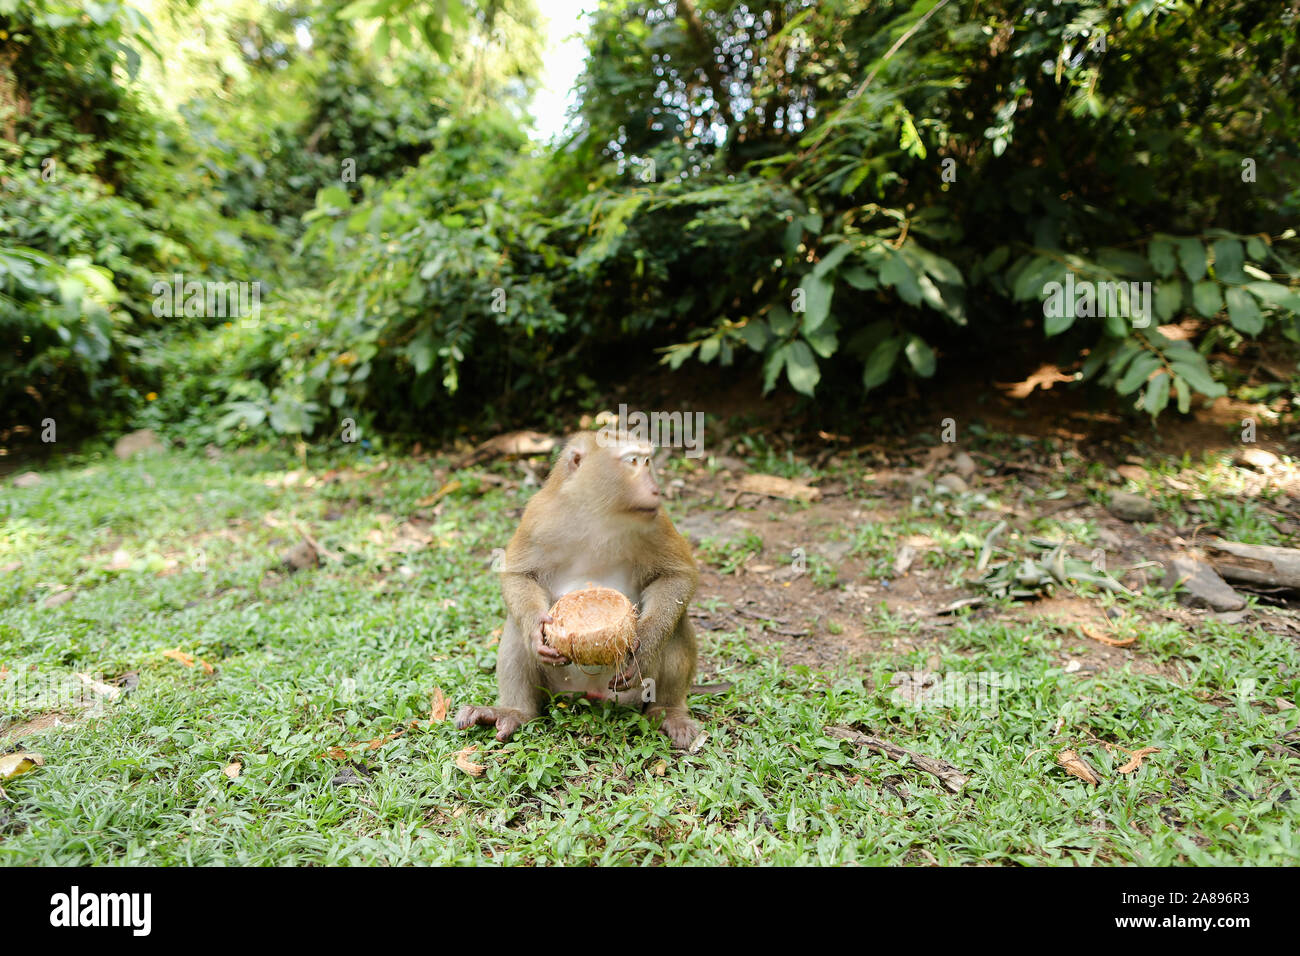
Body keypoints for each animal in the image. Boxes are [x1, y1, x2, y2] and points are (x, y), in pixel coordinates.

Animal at [457, 429, 702, 749]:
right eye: (632, 461)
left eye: (648, 461)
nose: (654, 488)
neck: (598, 512)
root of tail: (591, 695)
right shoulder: (539, 515)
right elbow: (519, 575)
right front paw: (535, 633)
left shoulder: (655, 519)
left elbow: (677, 576)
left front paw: (645, 645)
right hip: (557, 685)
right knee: (514, 624)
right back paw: (516, 712)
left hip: (628, 693)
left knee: (677, 622)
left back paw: (668, 712)